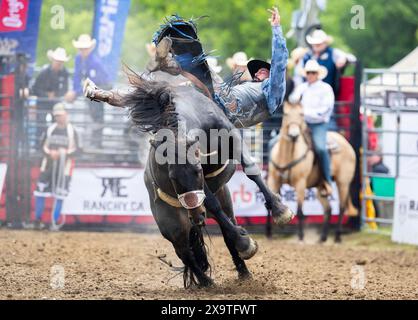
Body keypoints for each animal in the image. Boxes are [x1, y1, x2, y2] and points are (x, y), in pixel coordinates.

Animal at [268, 102, 356, 242]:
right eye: (285, 113)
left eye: (301, 114)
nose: (294, 135)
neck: (287, 155)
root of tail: (345, 142)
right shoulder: (273, 180)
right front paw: (270, 234)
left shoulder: (300, 183)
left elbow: (300, 211)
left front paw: (301, 237)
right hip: (320, 187)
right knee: (328, 209)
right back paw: (322, 238)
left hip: (343, 183)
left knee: (342, 208)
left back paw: (337, 236)